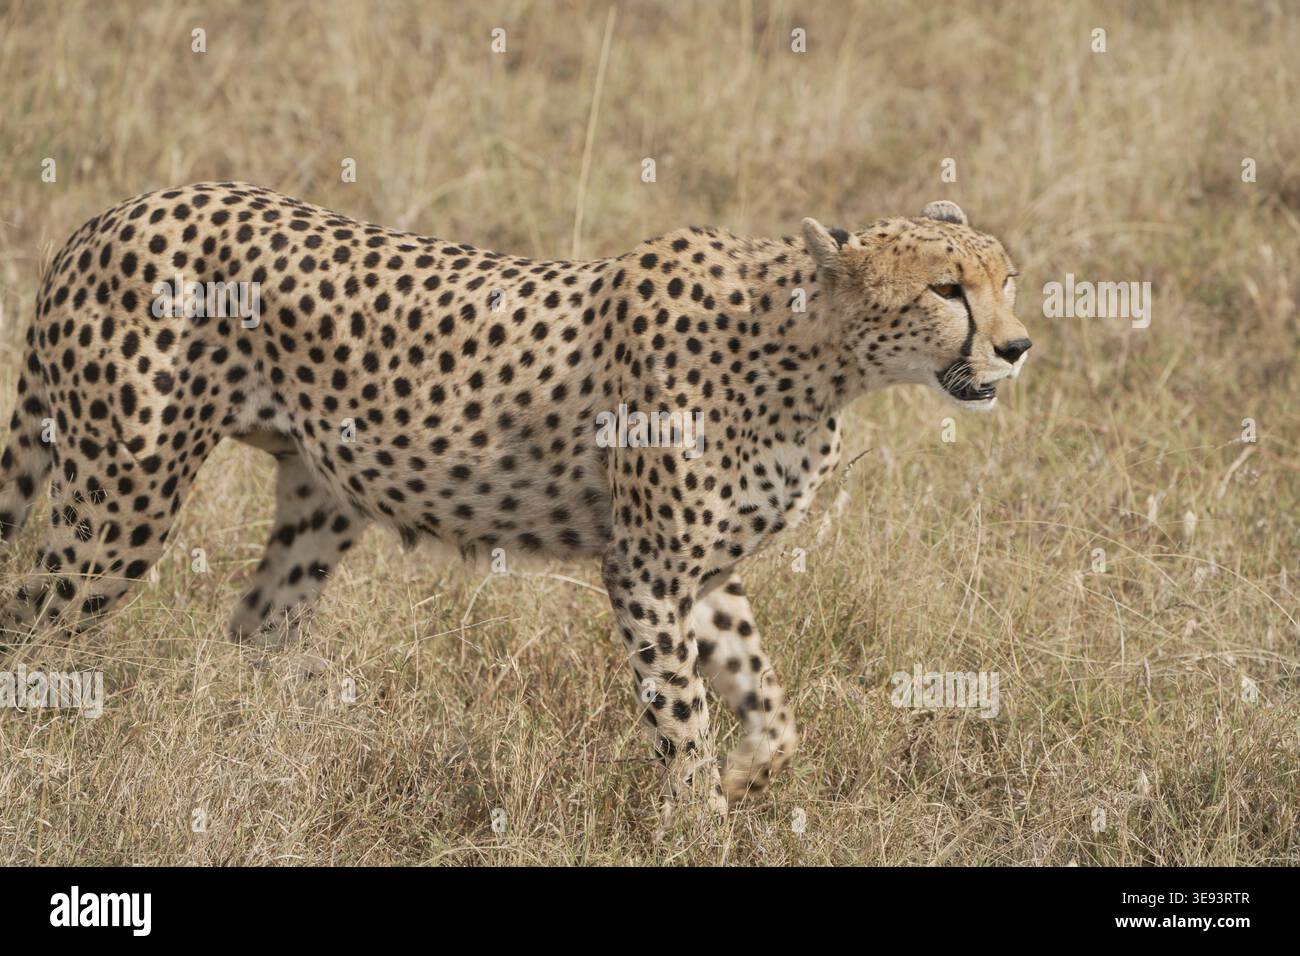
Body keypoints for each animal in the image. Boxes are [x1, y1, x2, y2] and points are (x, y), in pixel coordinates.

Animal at [0, 184, 1030, 816]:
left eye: (1006, 278)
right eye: (947, 288)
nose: (1018, 346)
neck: (813, 358)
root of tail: (110, 216)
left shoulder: (699, 574)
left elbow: (768, 711)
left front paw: (742, 780)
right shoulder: (646, 571)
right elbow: (681, 721)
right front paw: (702, 820)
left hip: (320, 498)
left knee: (255, 626)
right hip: (120, 504)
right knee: (34, 623)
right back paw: (46, 767)